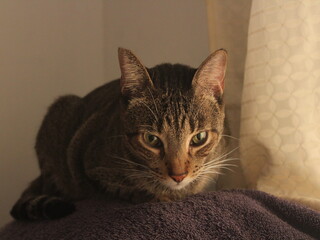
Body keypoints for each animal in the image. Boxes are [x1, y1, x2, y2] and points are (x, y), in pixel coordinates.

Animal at [10, 47, 228, 220]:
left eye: (199, 138)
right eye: (151, 139)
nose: (178, 176)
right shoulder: (89, 168)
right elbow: (125, 189)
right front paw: (155, 196)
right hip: (61, 112)